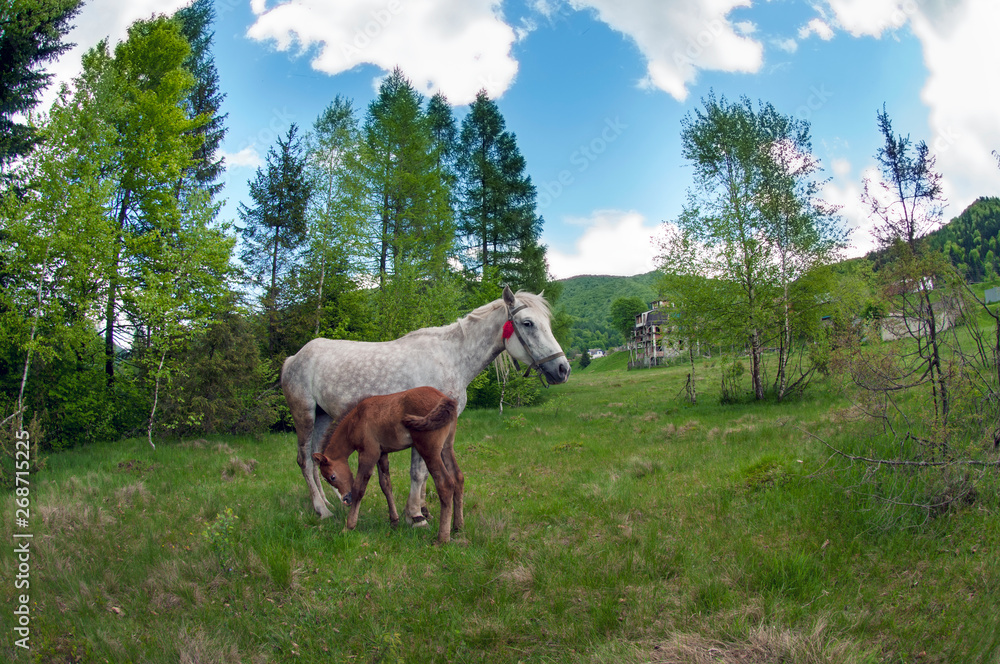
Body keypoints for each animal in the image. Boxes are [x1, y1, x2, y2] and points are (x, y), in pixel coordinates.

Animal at [281, 286, 570, 522]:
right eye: (528, 323)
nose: (562, 369)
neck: (452, 358)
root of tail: (294, 358)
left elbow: (424, 474)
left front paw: (422, 509)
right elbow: (419, 473)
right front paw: (415, 515)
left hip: (323, 416)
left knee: (316, 458)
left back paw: (329, 501)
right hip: (305, 415)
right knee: (304, 460)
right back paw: (322, 510)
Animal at [312, 386, 462, 544]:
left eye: (332, 477)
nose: (346, 499)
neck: (356, 420)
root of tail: (445, 399)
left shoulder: (369, 453)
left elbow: (359, 488)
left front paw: (349, 526)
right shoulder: (382, 453)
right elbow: (386, 485)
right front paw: (394, 521)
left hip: (429, 450)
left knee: (445, 484)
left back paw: (442, 538)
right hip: (447, 446)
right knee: (458, 477)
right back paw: (457, 527)